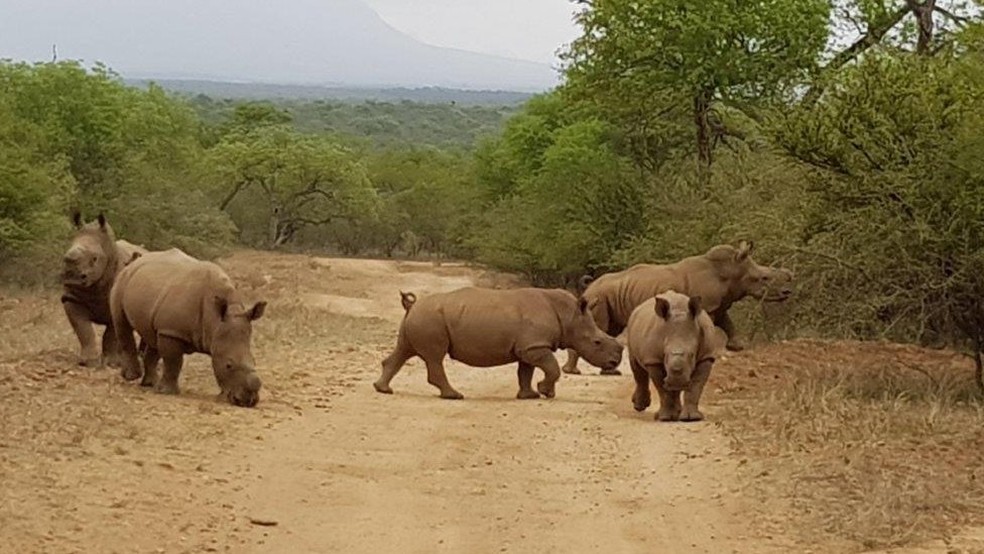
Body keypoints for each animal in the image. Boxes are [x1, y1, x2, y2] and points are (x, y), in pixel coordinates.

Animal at [61, 211, 147, 367]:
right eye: (65, 257)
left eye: (95, 258)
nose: (72, 278)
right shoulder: (71, 298)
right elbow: (83, 329)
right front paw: (87, 362)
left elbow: (110, 335)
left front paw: (111, 363)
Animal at [110, 248, 267, 407]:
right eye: (228, 365)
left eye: (254, 361)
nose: (248, 401)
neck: (215, 321)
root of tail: (134, 263)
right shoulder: (172, 331)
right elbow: (174, 362)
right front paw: (167, 392)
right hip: (122, 280)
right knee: (122, 323)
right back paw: (131, 377)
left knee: (152, 336)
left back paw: (150, 383)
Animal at [373, 287, 623, 400]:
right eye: (597, 342)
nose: (615, 361)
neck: (570, 316)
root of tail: (411, 306)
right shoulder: (535, 346)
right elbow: (552, 368)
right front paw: (545, 392)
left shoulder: (529, 347)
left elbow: (525, 372)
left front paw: (530, 395)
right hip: (430, 318)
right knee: (435, 357)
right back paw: (454, 395)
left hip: (421, 318)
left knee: (404, 350)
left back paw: (383, 389)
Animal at [563, 240, 793, 375]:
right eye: (763, 278)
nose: (787, 291)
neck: (729, 272)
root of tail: (589, 287)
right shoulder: (708, 305)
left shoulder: (718, 306)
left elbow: (728, 322)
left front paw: (737, 347)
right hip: (600, 297)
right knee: (600, 327)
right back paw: (575, 372)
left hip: (607, 296)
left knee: (609, 329)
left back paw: (602, 371)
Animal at [626, 291, 727, 422]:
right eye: (664, 355)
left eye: (692, 355)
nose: (676, 380)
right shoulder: (653, 360)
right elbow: (662, 388)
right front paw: (665, 418)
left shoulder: (706, 356)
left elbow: (696, 386)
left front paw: (692, 418)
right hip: (631, 327)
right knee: (637, 368)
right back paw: (641, 407)